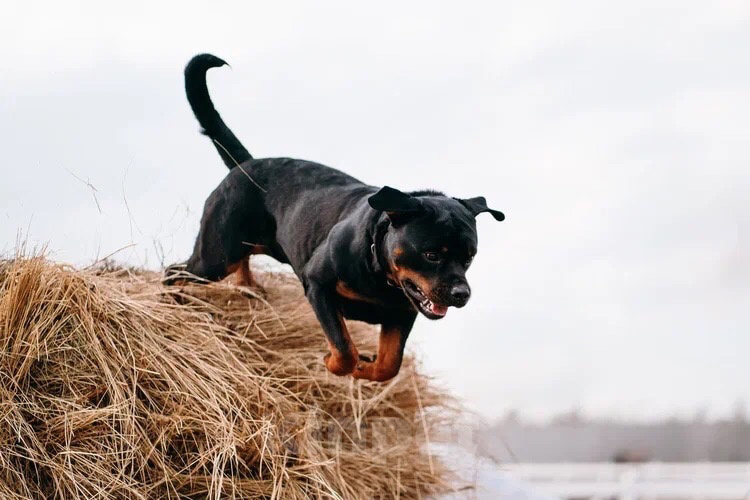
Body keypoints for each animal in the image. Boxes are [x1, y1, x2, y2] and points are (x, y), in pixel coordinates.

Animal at [164, 54, 506, 380]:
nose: (462, 294)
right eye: (431, 255)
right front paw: (336, 363)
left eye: (469, 258)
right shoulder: (318, 285)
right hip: (217, 256)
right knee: (174, 272)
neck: (379, 270)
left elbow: (389, 365)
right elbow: (344, 349)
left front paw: (367, 368)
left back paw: (248, 288)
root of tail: (245, 165)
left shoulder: (401, 313)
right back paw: (175, 302)